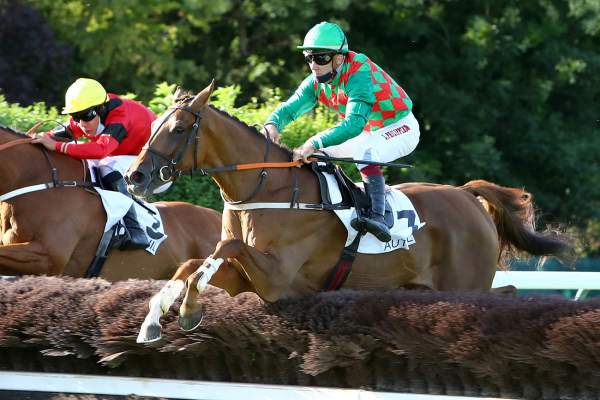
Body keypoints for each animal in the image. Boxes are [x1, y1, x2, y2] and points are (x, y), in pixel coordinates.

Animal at [125, 83, 571, 343]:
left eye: (178, 129)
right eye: (155, 124)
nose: (134, 176)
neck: (265, 188)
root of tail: (465, 195)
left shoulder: (278, 280)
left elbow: (225, 247)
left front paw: (186, 310)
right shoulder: (247, 280)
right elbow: (194, 264)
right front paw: (156, 317)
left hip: (466, 284)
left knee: (504, 295)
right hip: (426, 287)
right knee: (503, 291)